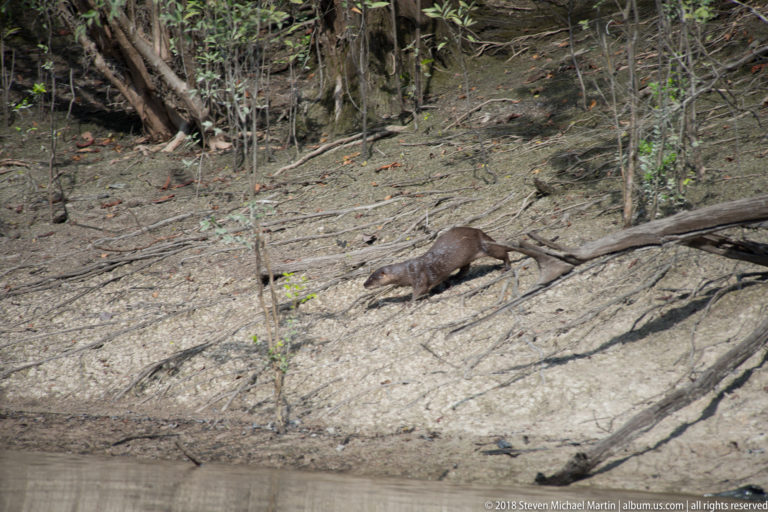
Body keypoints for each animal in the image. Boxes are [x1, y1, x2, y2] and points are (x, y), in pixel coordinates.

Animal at [364, 227, 513, 301]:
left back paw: (506, 267)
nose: (364, 284)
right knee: (465, 268)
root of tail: (481, 233)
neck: (408, 272)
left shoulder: (419, 276)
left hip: (485, 247)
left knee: (502, 253)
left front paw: (408, 303)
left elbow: (420, 290)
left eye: (372, 278)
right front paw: (445, 286)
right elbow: (443, 279)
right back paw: (456, 276)